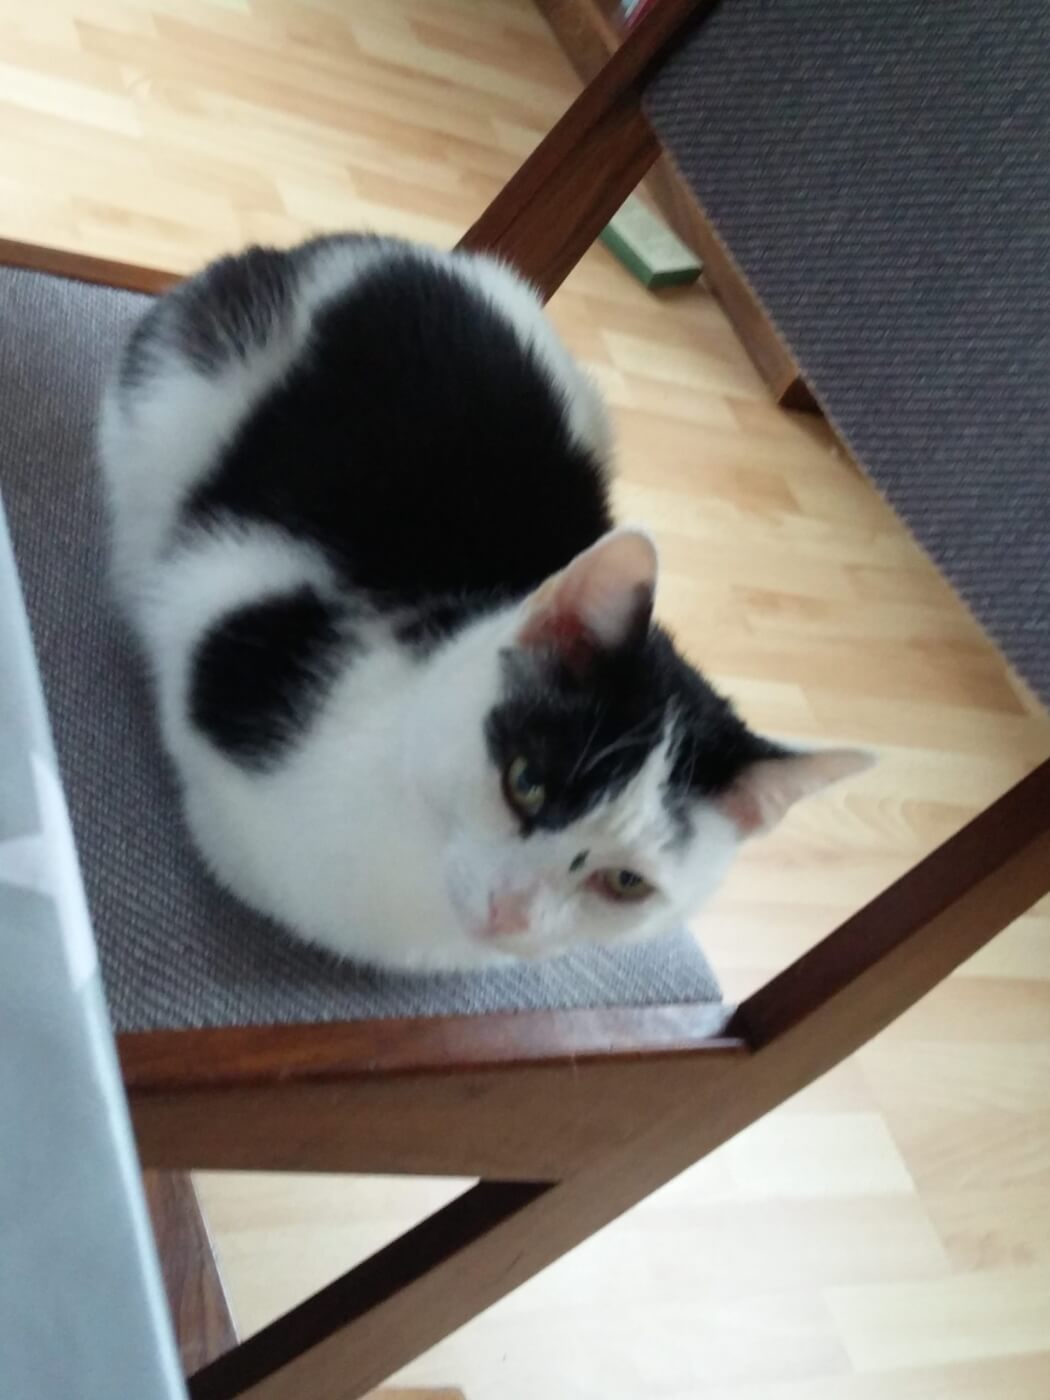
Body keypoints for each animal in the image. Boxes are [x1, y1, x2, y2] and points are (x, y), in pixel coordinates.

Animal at [98, 234, 869, 972]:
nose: (511, 913)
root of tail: (399, 250)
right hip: (182, 384)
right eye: (524, 782)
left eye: (627, 883)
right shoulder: (232, 588)